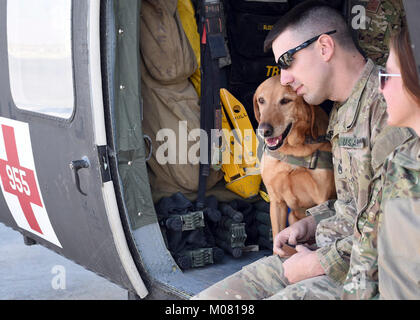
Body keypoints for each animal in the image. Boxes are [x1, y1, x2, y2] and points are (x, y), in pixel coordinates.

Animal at [253, 75, 338, 245]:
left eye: (285, 100)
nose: (264, 130)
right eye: (261, 100)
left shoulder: (322, 201)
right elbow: (277, 237)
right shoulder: (276, 202)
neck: (293, 150)